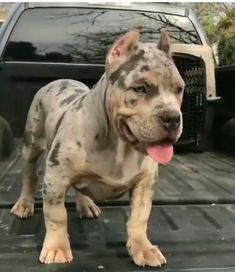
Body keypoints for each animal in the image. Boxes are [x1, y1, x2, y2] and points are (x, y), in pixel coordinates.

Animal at [10, 29, 184, 266]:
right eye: (140, 88)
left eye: (180, 90)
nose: (173, 118)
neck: (119, 146)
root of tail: (58, 80)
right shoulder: (55, 179)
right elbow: (56, 215)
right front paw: (56, 248)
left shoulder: (145, 183)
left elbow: (139, 218)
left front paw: (143, 248)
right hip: (31, 142)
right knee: (29, 175)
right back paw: (24, 204)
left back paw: (86, 204)